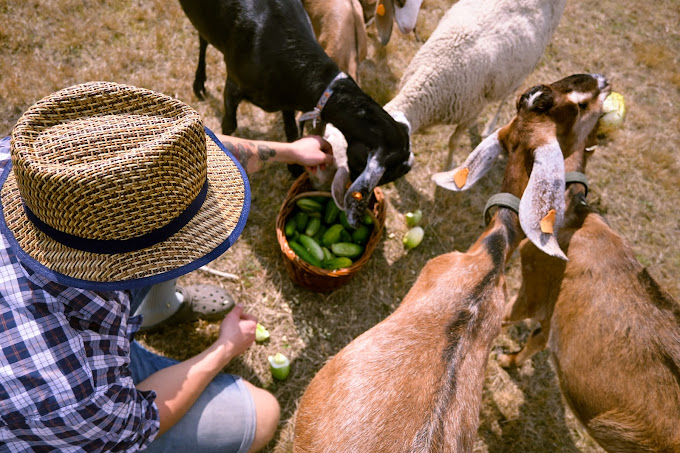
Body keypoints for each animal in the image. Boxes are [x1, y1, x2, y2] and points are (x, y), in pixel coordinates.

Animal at [178, 0, 412, 225]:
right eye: (387, 174)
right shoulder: (233, 86)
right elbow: (230, 125)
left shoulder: (287, 99)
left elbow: (291, 132)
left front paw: (296, 168)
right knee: (202, 38)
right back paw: (199, 83)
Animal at [496, 96, 680, 448]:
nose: (529, 98)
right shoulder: (552, 314)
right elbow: (535, 341)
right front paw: (508, 361)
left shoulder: (533, 291)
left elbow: (502, 319)